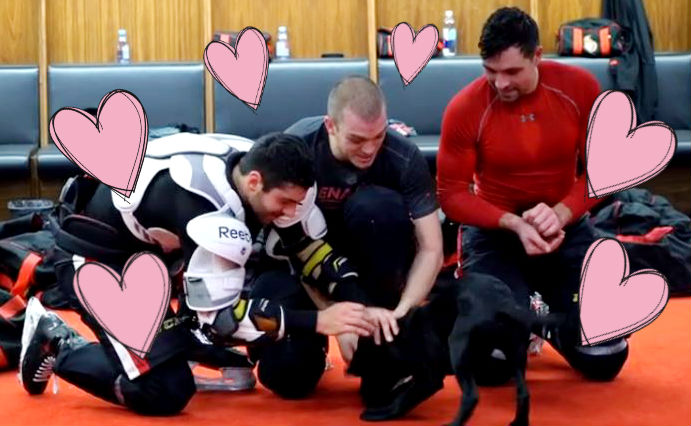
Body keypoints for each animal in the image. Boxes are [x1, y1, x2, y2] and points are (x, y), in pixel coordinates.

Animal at [448, 272, 564, 426]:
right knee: (523, 393)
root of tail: (504, 304)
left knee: (471, 396)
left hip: (457, 348)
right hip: (517, 354)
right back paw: (519, 422)